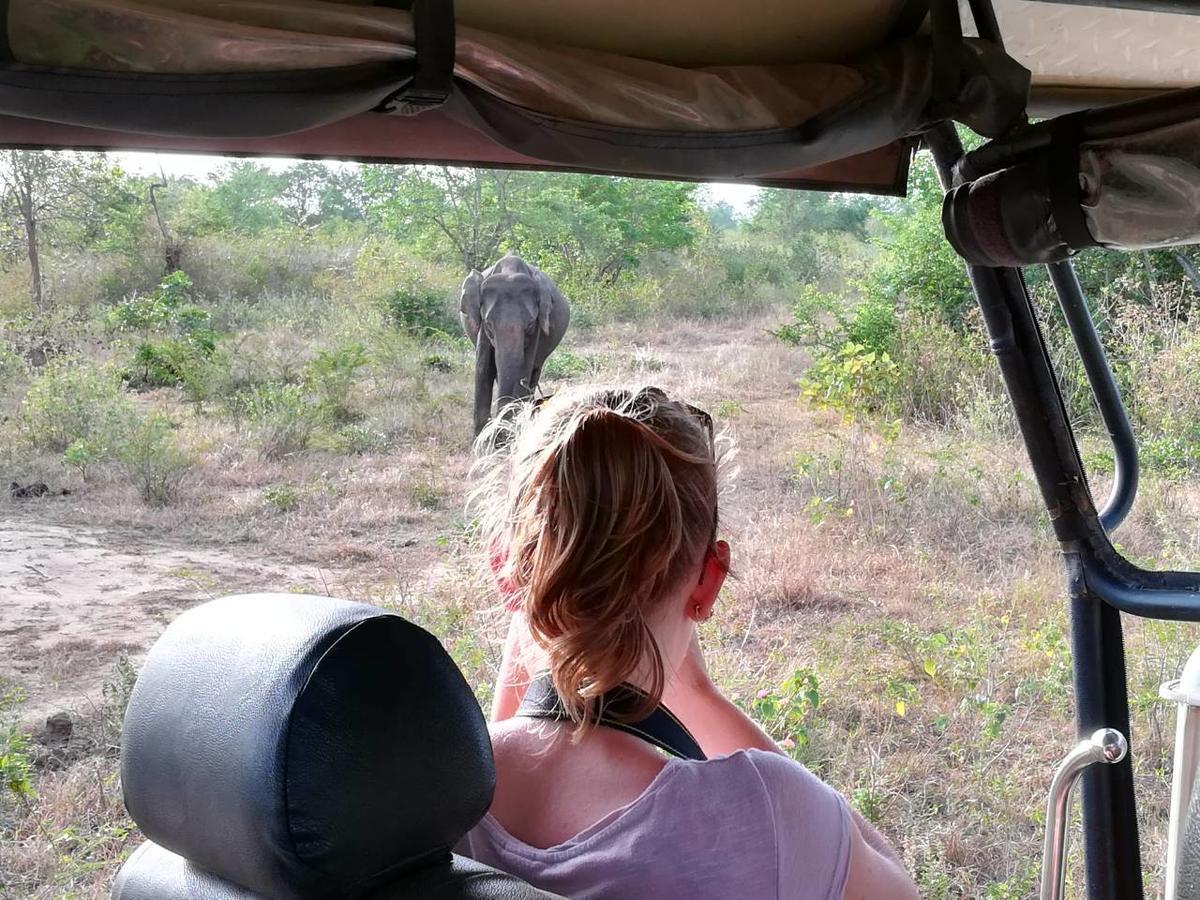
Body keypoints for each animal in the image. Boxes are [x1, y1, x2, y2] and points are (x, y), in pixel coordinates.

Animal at [458, 254, 571, 436]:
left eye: (530, 324)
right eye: (489, 324)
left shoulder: (538, 328)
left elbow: (524, 368)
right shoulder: (482, 329)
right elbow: (483, 369)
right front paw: (482, 441)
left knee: (534, 372)